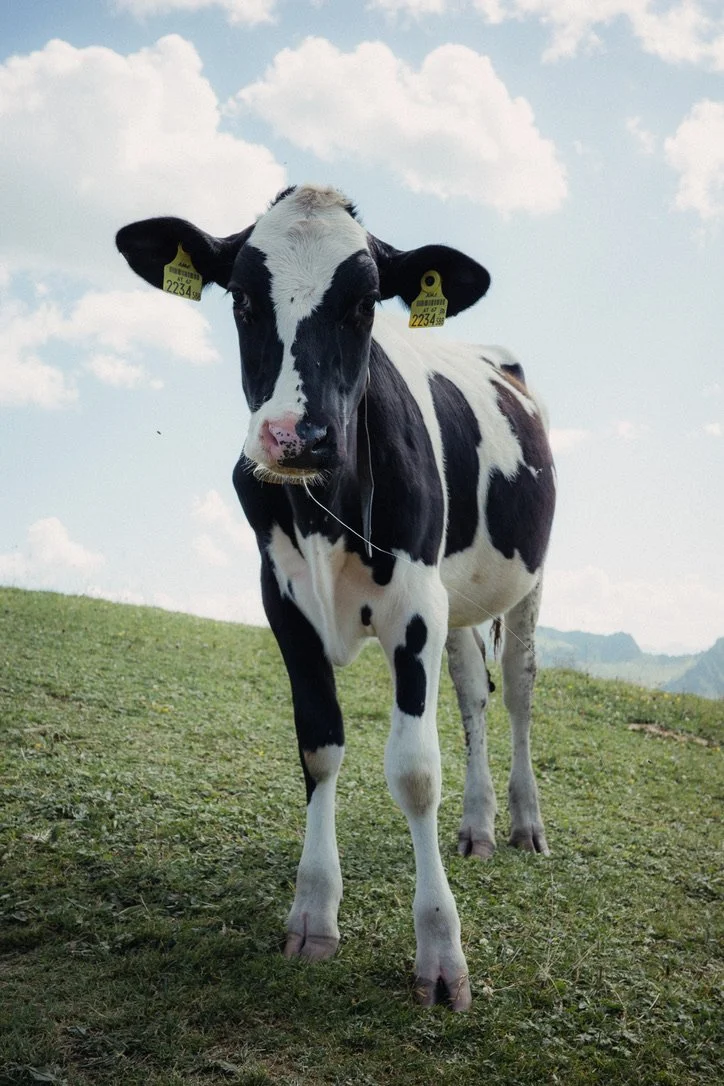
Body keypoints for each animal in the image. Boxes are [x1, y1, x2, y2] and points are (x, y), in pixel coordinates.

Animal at [116, 183, 556, 1011]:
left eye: (362, 305)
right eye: (242, 301)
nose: (295, 435)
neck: (327, 507)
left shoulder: (414, 605)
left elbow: (414, 772)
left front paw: (441, 954)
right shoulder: (283, 601)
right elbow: (319, 747)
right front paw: (314, 913)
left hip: (529, 581)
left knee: (515, 689)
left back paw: (523, 821)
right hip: (457, 599)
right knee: (472, 693)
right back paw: (478, 825)